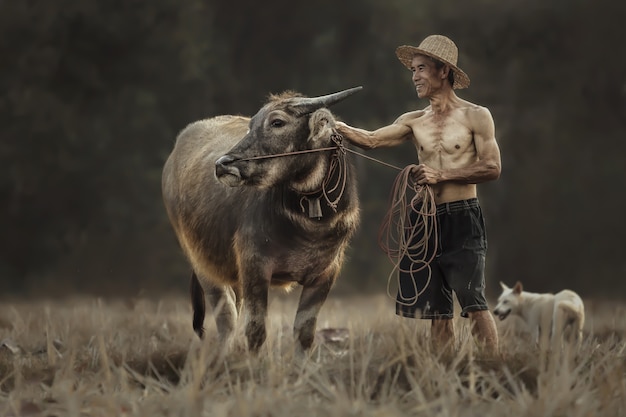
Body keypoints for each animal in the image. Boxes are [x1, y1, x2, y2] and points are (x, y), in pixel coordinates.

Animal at [161, 86, 360, 352]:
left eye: (277, 122)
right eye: (251, 125)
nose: (223, 164)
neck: (310, 225)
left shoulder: (325, 274)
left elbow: (304, 333)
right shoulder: (254, 266)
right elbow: (255, 331)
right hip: (202, 263)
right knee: (227, 317)